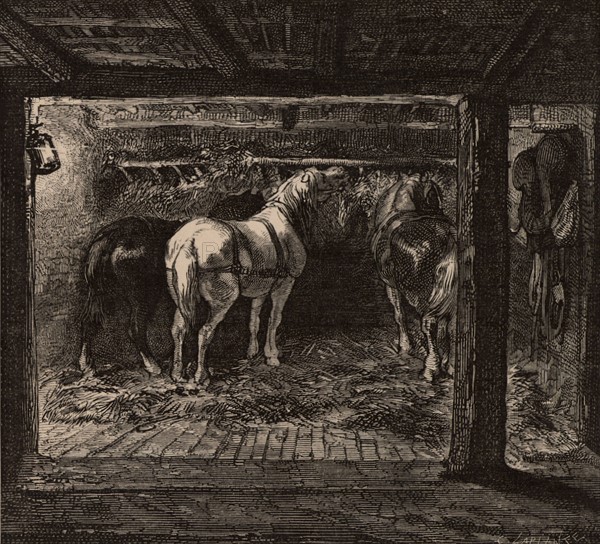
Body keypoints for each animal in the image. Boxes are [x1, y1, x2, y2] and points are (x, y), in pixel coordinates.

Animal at [166, 168, 350, 384]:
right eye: (322, 176)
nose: (342, 172)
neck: (285, 216)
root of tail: (189, 240)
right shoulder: (285, 284)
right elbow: (274, 319)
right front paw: (272, 355)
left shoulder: (260, 289)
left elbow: (255, 320)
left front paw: (252, 352)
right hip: (223, 300)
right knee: (205, 332)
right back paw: (201, 375)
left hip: (181, 298)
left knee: (178, 329)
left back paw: (177, 374)